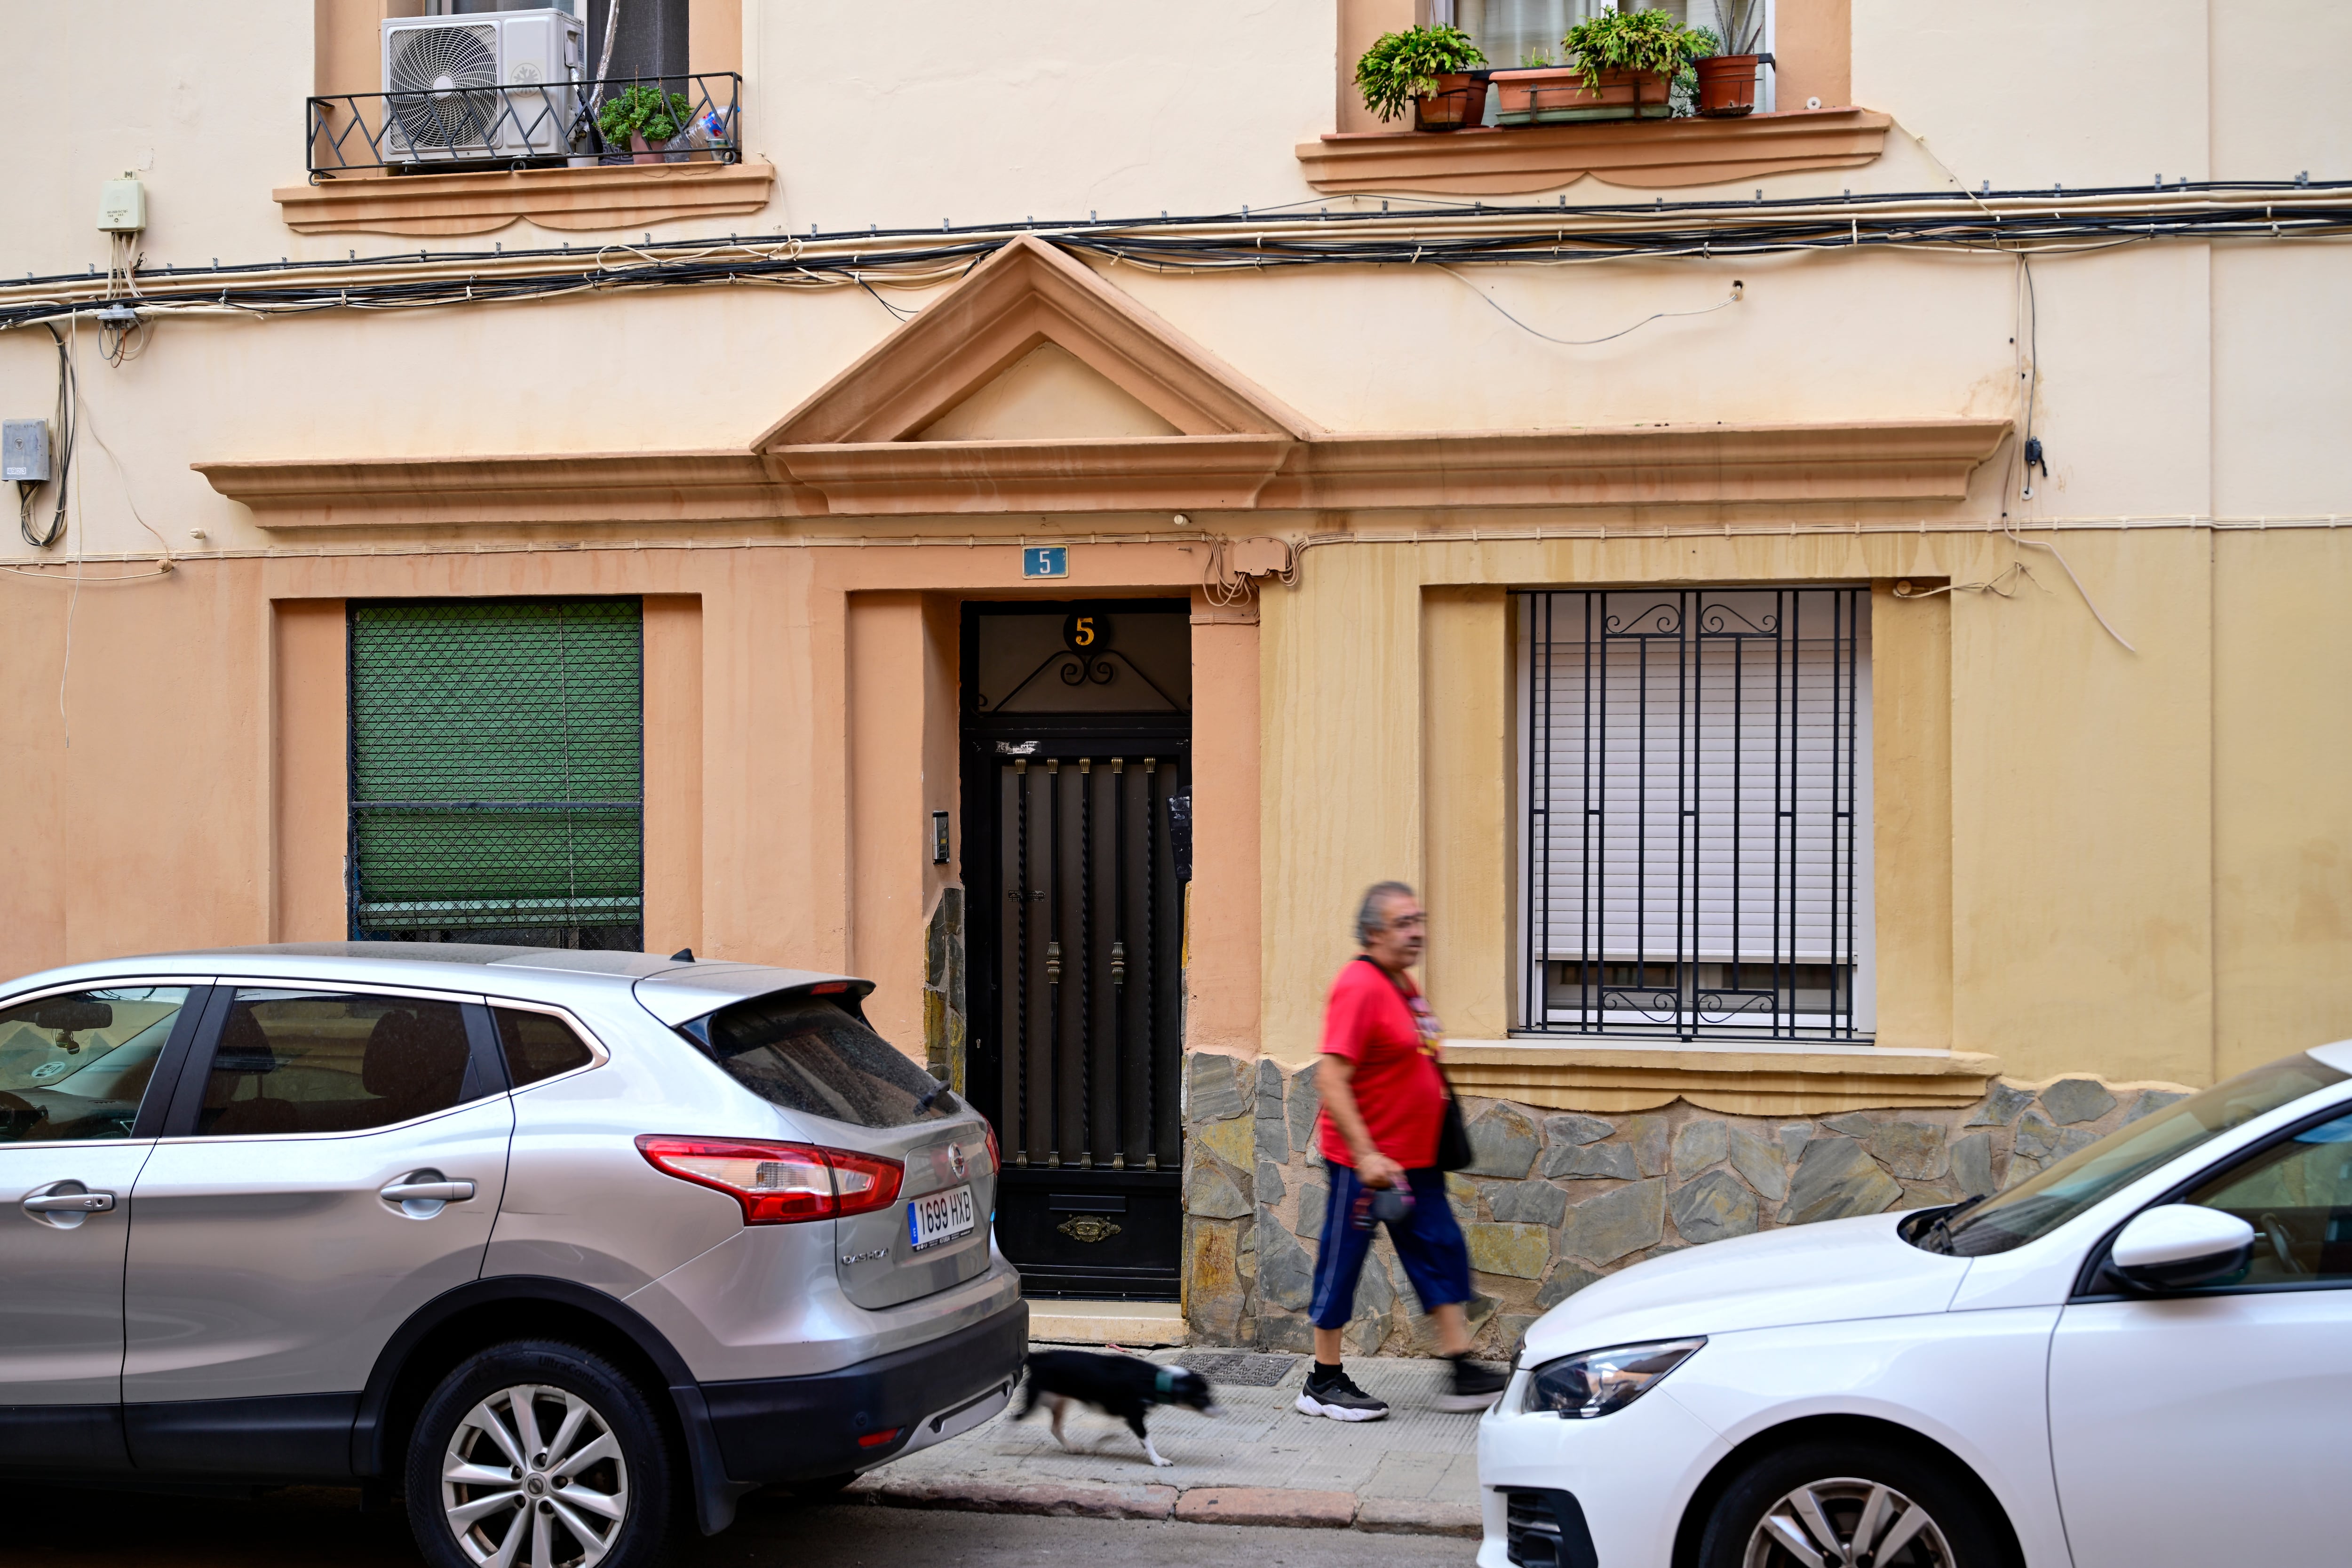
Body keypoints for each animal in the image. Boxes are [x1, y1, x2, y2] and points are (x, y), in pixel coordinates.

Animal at [1016, 1354, 1223, 1476]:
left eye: (1209, 1394)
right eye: (1202, 1397)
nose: (1223, 1412)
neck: (1154, 1379)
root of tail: (1037, 1357)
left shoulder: (1127, 1415)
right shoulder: (1134, 1417)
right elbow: (1147, 1440)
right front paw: (1158, 1460)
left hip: (1059, 1402)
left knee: (1055, 1428)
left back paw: (1072, 1447)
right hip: (1035, 1400)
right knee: (1017, 1420)